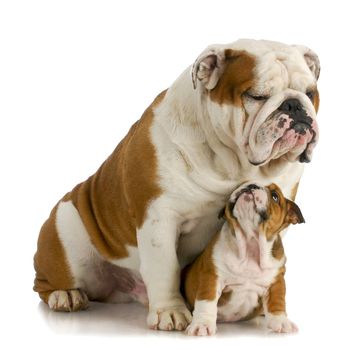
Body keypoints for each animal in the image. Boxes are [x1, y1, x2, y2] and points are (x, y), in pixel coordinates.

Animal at [183, 182, 304, 334]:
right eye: (243, 183)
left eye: (275, 196)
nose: (252, 185)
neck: (250, 243)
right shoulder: (211, 276)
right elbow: (206, 301)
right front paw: (202, 325)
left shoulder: (276, 281)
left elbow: (277, 301)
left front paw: (281, 321)